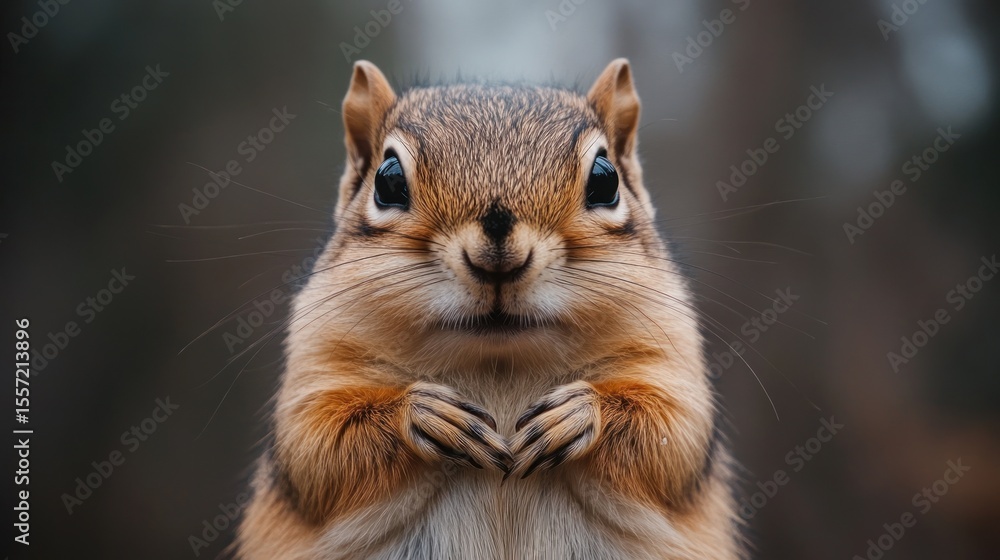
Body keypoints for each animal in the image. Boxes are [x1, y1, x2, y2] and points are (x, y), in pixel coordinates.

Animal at [234, 59, 743, 560]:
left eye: (605, 180)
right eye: (388, 181)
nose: (499, 253)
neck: (499, 358)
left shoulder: (667, 357)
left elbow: (672, 436)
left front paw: (577, 414)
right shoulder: (320, 362)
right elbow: (317, 446)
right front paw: (426, 414)